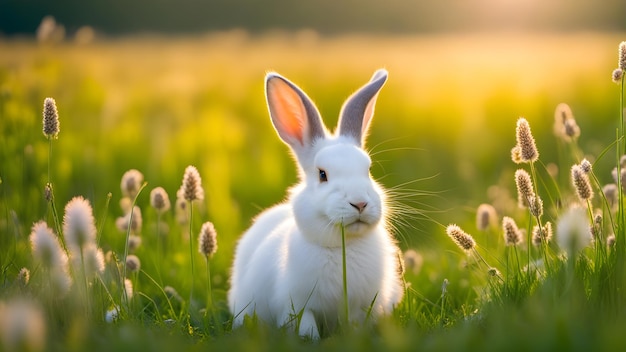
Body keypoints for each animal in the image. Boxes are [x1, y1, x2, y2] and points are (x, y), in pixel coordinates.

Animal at [227, 68, 402, 338]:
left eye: (368, 170)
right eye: (322, 175)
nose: (360, 203)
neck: (342, 247)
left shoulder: (361, 308)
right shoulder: (298, 306)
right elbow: (306, 326)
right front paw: (309, 339)